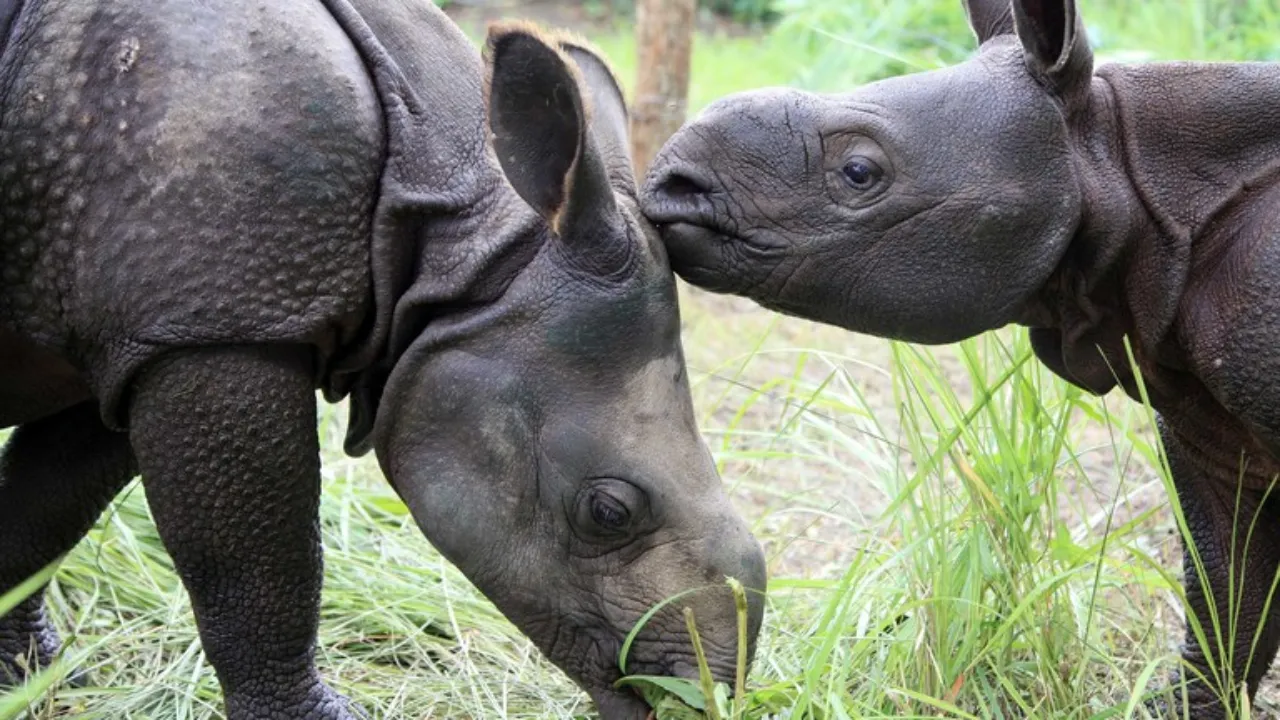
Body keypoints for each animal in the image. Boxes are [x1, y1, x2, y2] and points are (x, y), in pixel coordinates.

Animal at [0, 1, 768, 717]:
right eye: (609, 512)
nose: (699, 691)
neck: (466, 256)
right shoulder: (215, 324)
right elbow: (259, 571)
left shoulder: (152, 328)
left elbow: (42, 516)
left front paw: (26, 679)